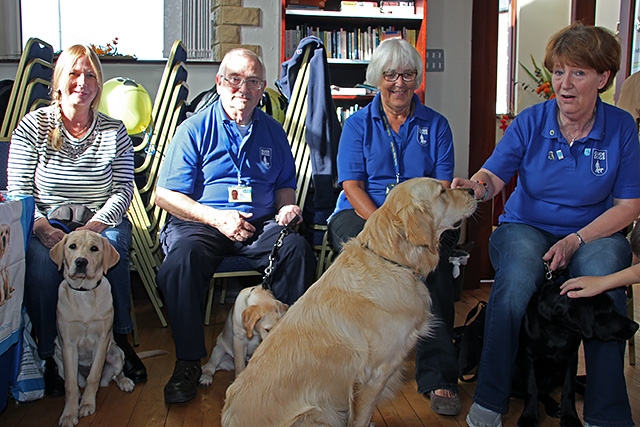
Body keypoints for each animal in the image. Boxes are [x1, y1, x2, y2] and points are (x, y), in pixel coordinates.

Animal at [51, 231, 134, 427]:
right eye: (72, 246)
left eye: (94, 248)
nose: (81, 262)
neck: (84, 292)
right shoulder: (68, 345)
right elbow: (70, 385)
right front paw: (69, 414)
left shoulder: (102, 340)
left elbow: (94, 376)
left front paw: (88, 405)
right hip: (59, 360)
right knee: (77, 382)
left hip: (116, 354)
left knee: (115, 375)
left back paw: (125, 381)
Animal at [222, 178, 478, 427]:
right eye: (442, 191)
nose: (473, 190)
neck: (390, 260)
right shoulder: (373, 376)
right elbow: (361, 419)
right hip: (317, 413)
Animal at [512, 274, 636, 427]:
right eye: (606, 310)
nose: (636, 326)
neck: (559, 330)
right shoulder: (527, 356)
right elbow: (532, 388)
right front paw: (529, 417)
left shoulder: (571, 358)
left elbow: (568, 388)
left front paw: (570, 417)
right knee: (540, 390)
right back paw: (552, 406)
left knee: (574, 384)